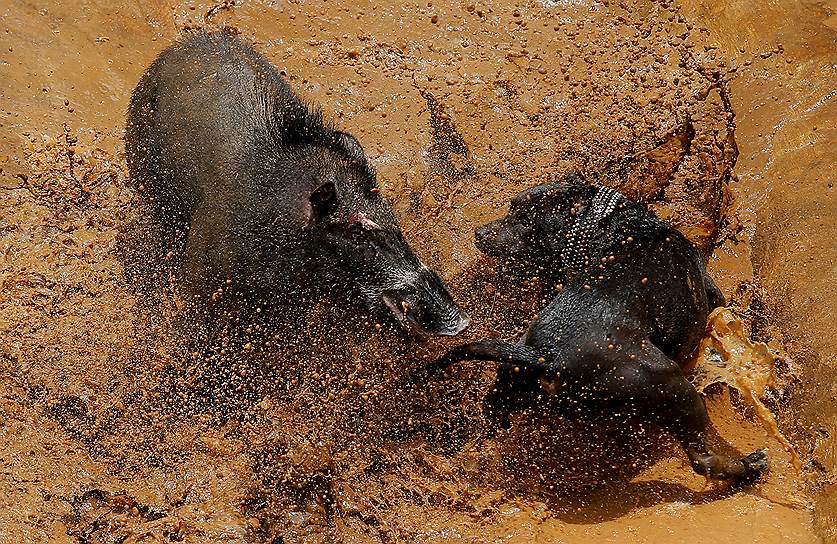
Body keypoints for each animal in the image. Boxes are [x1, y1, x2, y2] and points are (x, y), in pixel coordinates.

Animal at [422, 173, 768, 480]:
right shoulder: (712, 297)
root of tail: (546, 354)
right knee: (702, 456)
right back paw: (747, 467)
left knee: (489, 418)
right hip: (670, 387)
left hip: (507, 385)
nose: (479, 233)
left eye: (521, 218)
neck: (615, 225)